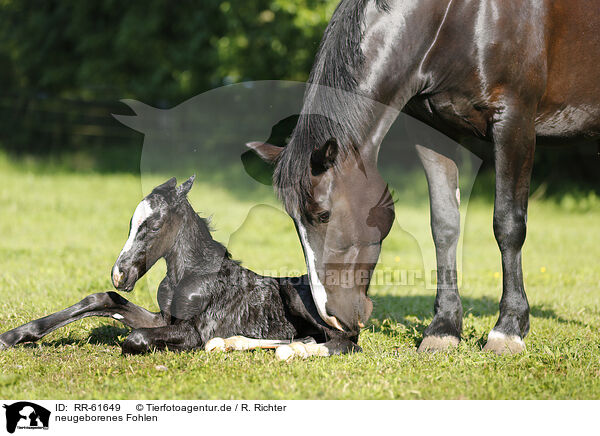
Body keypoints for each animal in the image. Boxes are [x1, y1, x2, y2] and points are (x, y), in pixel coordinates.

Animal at [0, 175, 358, 360]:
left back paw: (293, 351)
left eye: (154, 225)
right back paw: (233, 343)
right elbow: (102, 301)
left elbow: (136, 339)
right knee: (308, 337)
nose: (119, 274)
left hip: (300, 300)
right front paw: (12, 336)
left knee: (344, 341)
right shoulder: (164, 318)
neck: (188, 275)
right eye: (131, 223)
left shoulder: (192, 331)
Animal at [246, 0, 596, 352]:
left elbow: (508, 226)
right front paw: (443, 328)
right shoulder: (435, 131)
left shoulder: (514, 122)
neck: (460, 17)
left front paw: (508, 329)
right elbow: (444, 226)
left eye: (323, 214)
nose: (331, 318)